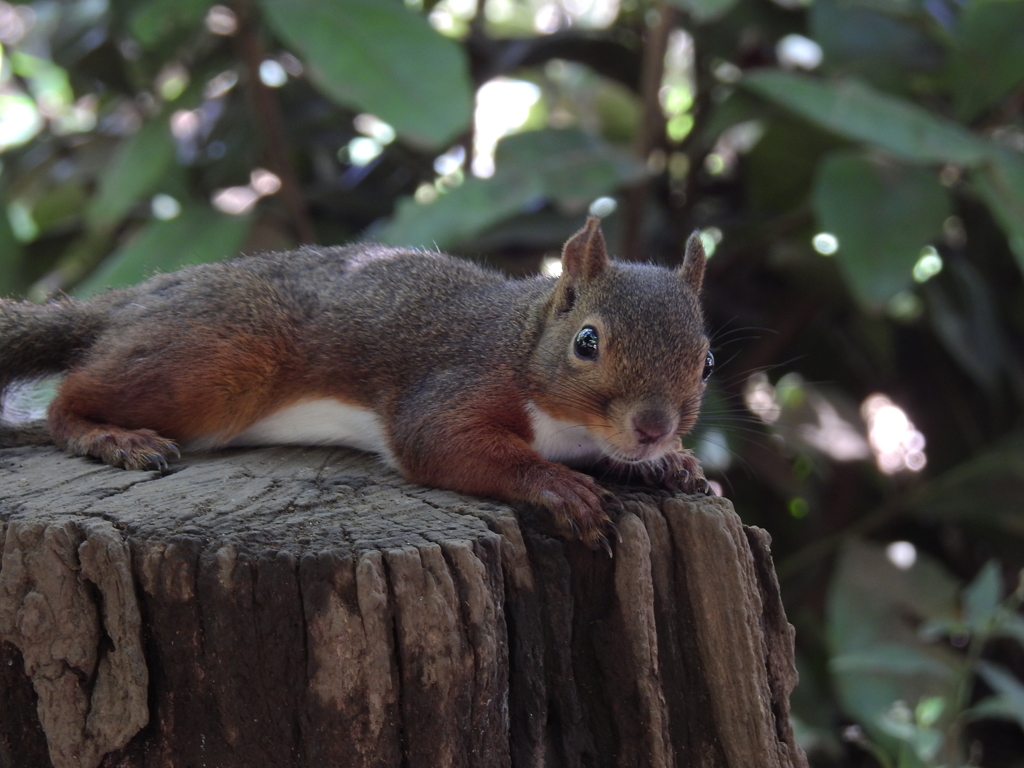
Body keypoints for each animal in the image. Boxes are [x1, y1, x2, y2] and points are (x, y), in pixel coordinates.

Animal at [0, 217, 712, 552]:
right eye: (587, 342)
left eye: (706, 362)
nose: (653, 428)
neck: (523, 340)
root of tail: (131, 302)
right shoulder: (457, 384)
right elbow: (439, 443)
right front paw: (560, 486)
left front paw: (674, 465)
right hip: (205, 363)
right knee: (67, 399)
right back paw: (111, 437)